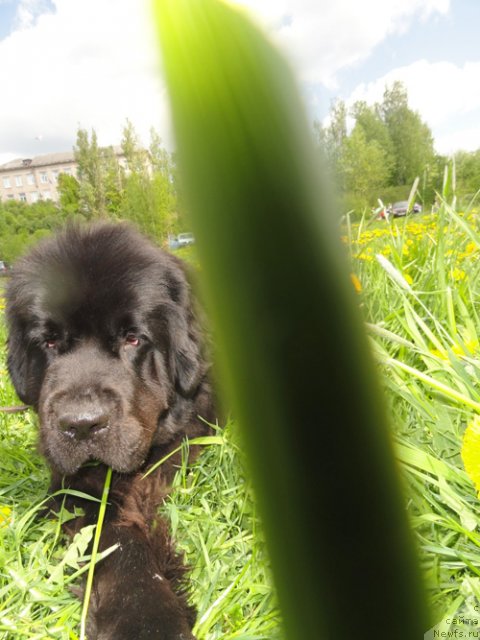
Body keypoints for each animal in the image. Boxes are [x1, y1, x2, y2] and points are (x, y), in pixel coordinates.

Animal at [5, 222, 216, 636]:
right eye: (48, 341)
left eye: (133, 338)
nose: (82, 424)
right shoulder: (76, 488)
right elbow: (114, 538)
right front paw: (145, 617)